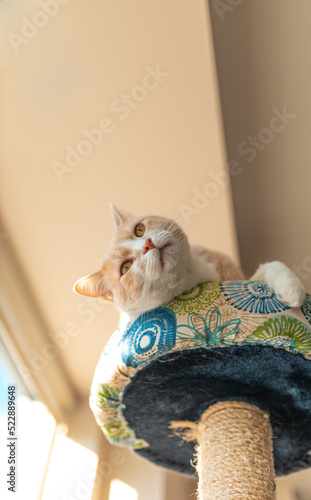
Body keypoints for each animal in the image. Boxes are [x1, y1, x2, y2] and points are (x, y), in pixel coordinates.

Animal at [74, 203, 306, 324]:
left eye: (139, 229)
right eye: (126, 267)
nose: (147, 245)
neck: (195, 278)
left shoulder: (239, 278)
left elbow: (272, 266)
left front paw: (291, 288)